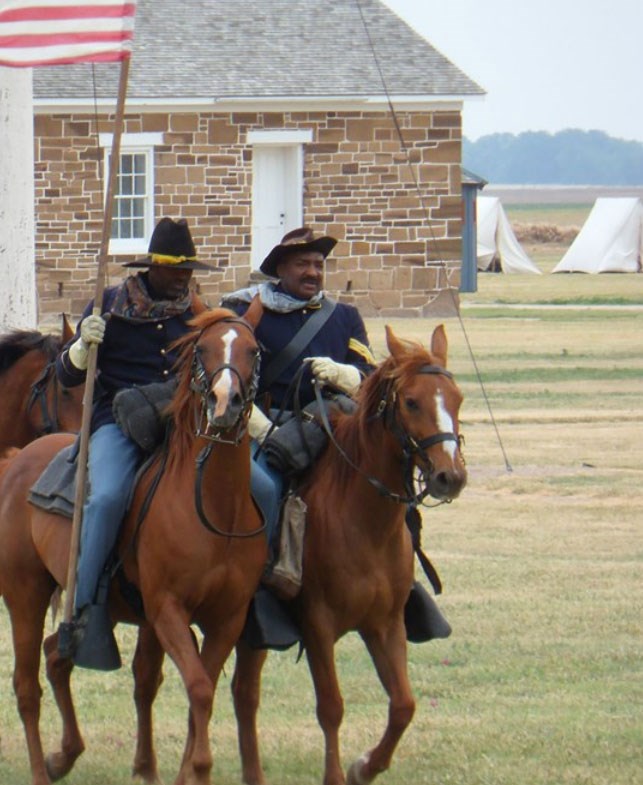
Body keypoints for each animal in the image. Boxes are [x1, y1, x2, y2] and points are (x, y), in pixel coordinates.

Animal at [230, 324, 468, 784]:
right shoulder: (317, 626)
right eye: (411, 401)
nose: (451, 476)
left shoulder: (386, 625)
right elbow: (331, 707)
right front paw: (338, 774)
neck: (365, 524)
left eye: (457, 398)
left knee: (244, 693)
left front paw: (364, 767)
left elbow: (403, 704)